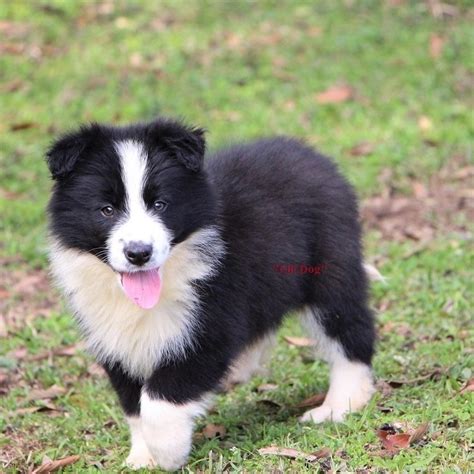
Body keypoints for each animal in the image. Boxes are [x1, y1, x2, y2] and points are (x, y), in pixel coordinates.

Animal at [47, 117, 378, 470]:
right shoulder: (114, 339)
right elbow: (134, 404)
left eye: (160, 204)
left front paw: (167, 452)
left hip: (328, 269)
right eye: (106, 210)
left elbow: (159, 399)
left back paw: (340, 405)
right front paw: (142, 456)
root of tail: (314, 156)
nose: (139, 253)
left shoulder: (211, 322)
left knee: (349, 329)